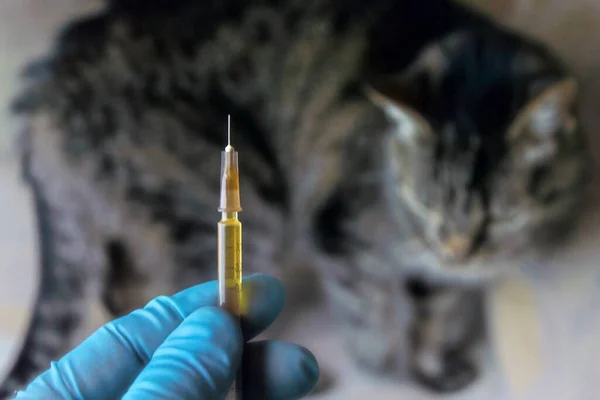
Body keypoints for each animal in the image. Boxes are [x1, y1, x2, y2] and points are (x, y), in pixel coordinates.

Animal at [0, 0, 588, 396]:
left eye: (503, 216)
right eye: (423, 204)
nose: (457, 250)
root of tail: (43, 90)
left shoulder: (434, 270)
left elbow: (436, 312)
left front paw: (437, 364)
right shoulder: (344, 234)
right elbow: (376, 323)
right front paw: (398, 375)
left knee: (126, 293)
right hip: (241, 206)